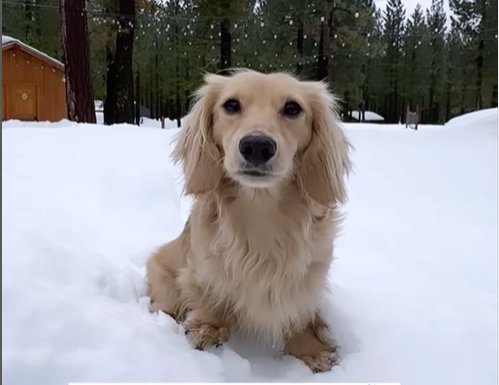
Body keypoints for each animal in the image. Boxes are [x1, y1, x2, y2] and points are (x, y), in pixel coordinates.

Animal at [146, 69, 354, 372]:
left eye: (293, 108)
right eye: (231, 105)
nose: (257, 146)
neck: (261, 212)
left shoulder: (309, 276)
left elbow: (300, 312)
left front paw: (310, 349)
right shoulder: (203, 270)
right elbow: (210, 297)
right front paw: (208, 329)